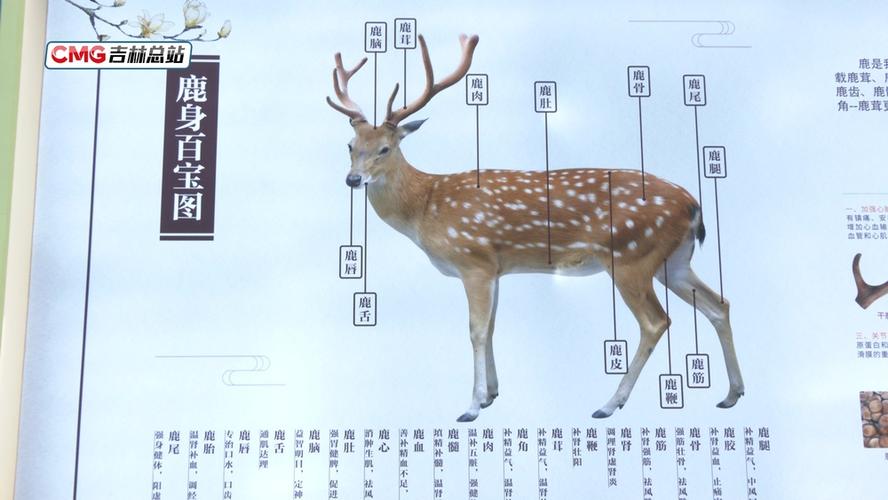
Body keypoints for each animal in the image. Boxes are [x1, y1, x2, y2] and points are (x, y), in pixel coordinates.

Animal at [326, 33, 745, 422]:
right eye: (349, 145)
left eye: (385, 148)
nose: (352, 179)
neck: (426, 206)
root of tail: (693, 205)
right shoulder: (495, 268)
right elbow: (492, 327)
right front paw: (491, 395)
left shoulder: (473, 260)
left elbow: (476, 330)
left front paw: (471, 407)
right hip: (673, 260)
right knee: (719, 303)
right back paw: (732, 394)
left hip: (631, 257)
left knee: (656, 322)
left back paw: (609, 404)